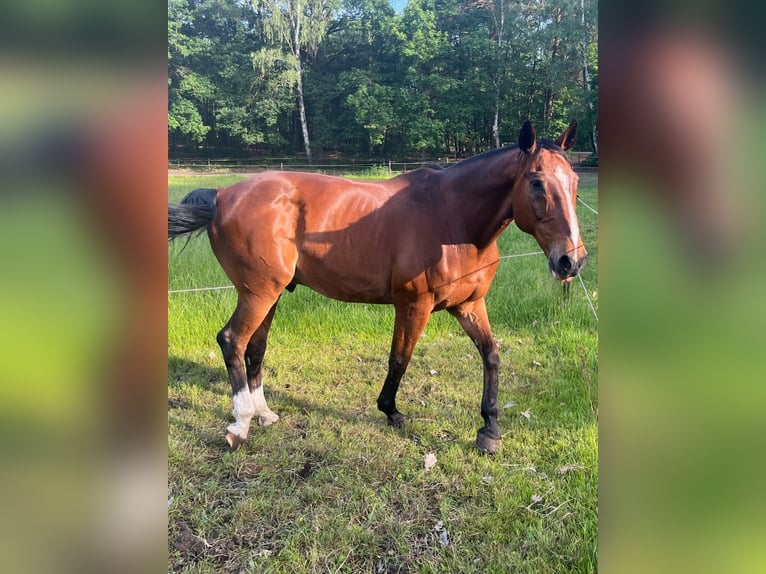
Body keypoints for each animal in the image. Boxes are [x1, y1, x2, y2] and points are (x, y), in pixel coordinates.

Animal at [168, 120, 587, 454]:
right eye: (536, 182)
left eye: (575, 183)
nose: (571, 260)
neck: (453, 218)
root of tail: (223, 195)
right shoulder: (414, 304)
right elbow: (400, 358)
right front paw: (391, 410)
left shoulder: (469, 305)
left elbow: (492, 355)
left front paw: (490, 430)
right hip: (258, 292)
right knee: (232, 340)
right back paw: (239, 427)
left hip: (267, 293)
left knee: (254, 347)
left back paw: (264, 414)